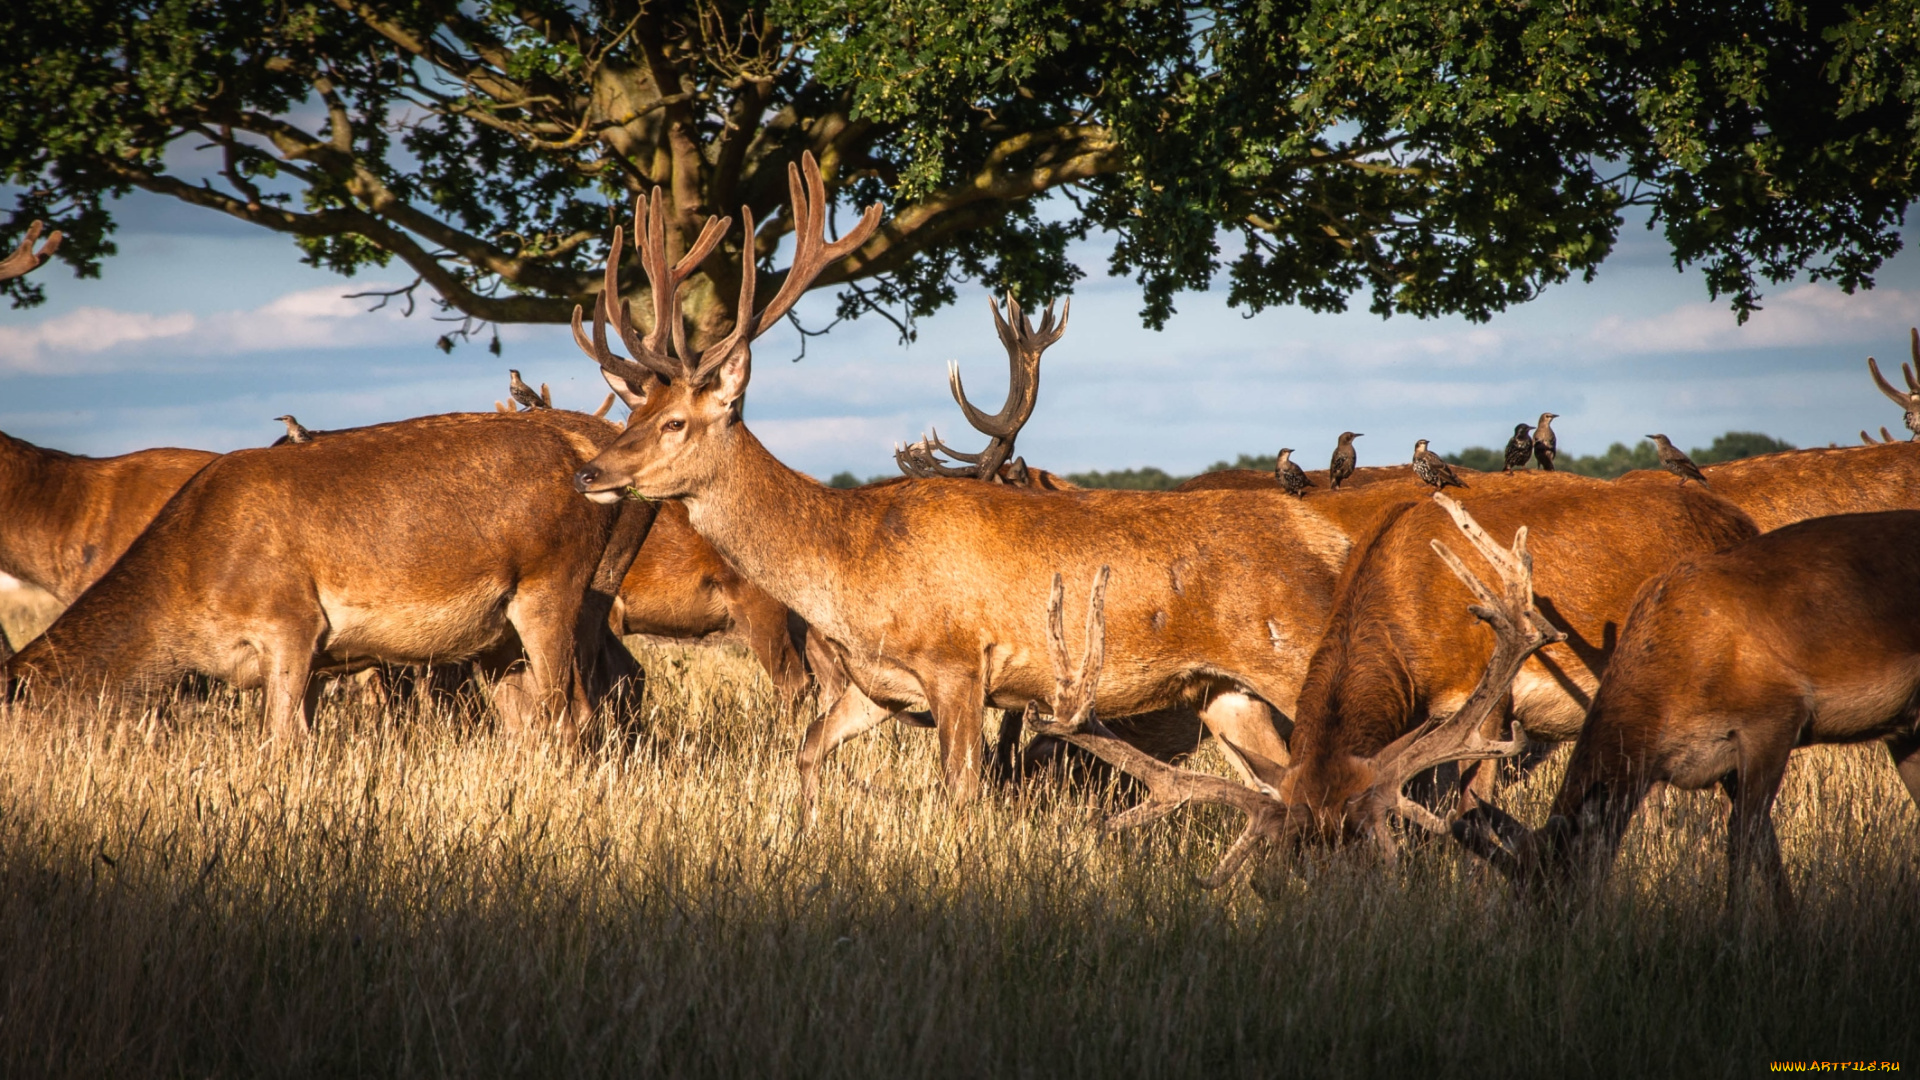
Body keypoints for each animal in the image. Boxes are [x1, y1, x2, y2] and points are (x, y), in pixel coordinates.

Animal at [3, 407, 656, 745]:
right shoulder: (320, 659)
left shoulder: (288, 621)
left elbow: (282, 742)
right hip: (499, 638)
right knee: (529, 719)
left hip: (553, 585)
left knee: (569, 711)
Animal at [568, 153, 1367, 807]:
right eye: (638, 408)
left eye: (676, 422)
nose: (588, 472)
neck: (850, 567)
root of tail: (1330, 542)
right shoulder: (880, 686)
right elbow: (807, 749)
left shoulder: (957, 664)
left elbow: (962, 786)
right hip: (1228, 692)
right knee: (1286, 780)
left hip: (1295, 658)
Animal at [1451, 507, 1920, 910]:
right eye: (1517, 894)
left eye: (1555, 884)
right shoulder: (1726, 759)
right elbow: (1766, 847)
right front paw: (1788, 927)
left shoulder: (1774, 716)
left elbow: (1743, 838)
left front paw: (1736, 933)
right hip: (1909, 729)